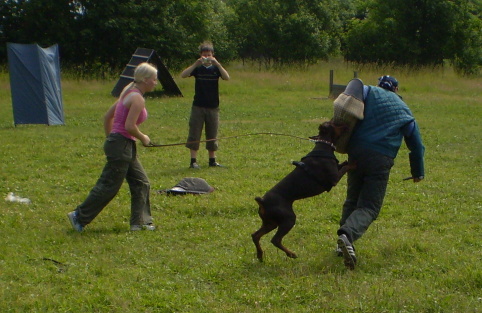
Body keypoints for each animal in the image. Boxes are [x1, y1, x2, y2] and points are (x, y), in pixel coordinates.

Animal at [250, 120, 356, 260]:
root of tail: (262, 201)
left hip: (271, 222)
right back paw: (291, 254)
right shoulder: (334, 179)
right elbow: (345, 167)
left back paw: (260, 255)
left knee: (255, 235)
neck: (324, 145)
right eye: (334, 124)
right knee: (275, 240)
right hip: (288, 219)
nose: (346, 124)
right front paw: (353, 164)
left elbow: (342, 164)